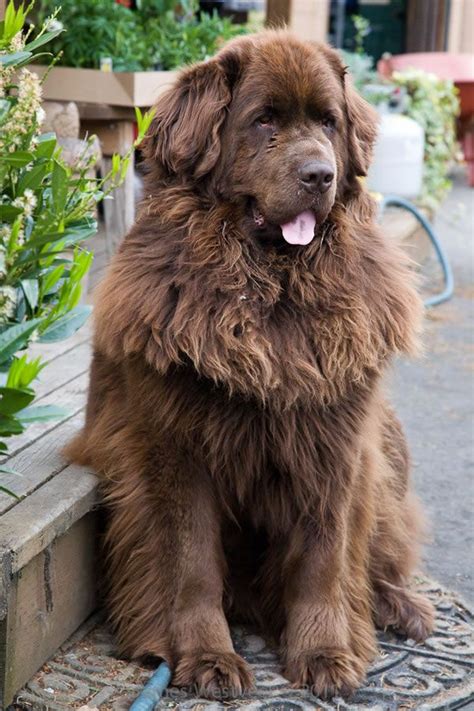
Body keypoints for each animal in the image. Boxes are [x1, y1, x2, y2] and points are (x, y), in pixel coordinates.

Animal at [65, 32, 434, 700]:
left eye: (328, 122)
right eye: (264, 121)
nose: (321, 173)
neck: (272, 296)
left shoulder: (336, 445)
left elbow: (325, 556)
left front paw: (325, 653)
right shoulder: (175, 448)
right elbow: (190, 563)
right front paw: (205, 657)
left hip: (388, 446)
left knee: (382, 548)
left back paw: (402, 606)